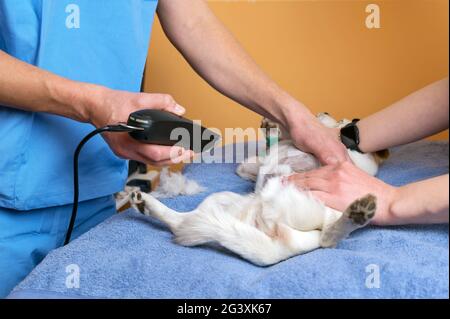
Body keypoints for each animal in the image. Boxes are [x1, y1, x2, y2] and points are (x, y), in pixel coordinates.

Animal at [129, 114, 386, 266]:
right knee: (180, 222)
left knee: (328, 238)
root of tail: (277, 248)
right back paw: (143, 202)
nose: (322, 112)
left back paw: (357, 213)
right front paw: (272, 130)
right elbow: (263, 160)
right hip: (217, 203)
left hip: (320, 217)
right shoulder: (249, 166)